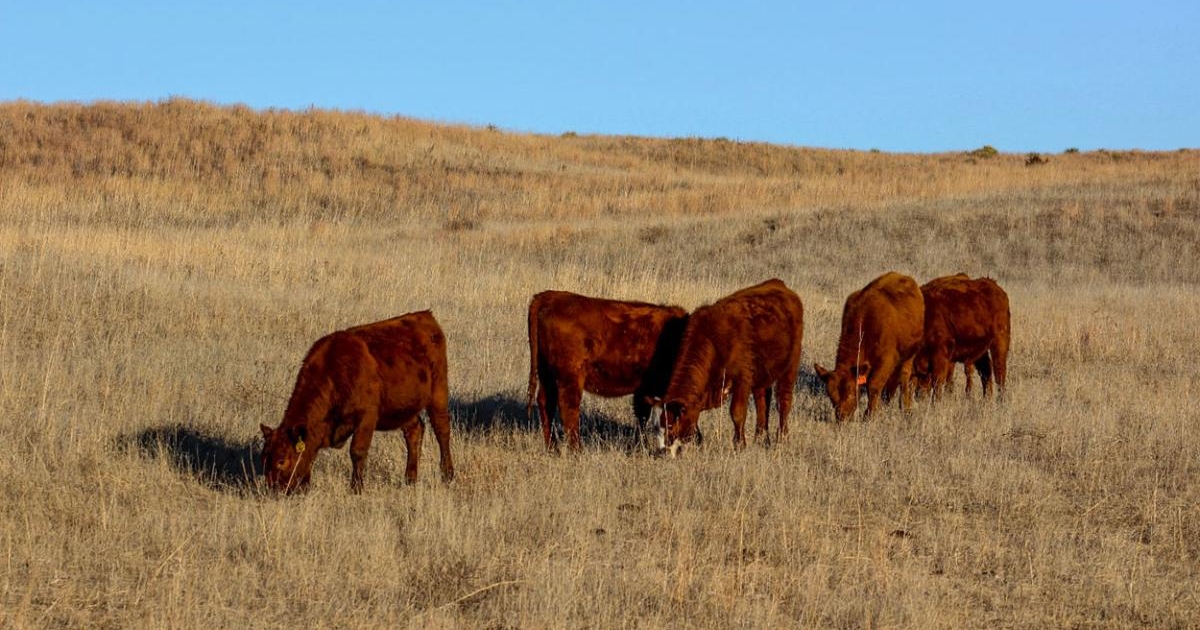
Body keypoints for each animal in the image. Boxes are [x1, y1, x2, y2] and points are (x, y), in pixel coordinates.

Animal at [260, 309, 451, 492]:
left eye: (282, 460)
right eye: (264, 458)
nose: (273, 488)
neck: (335, 371)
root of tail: (425, 316)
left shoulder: (366, 417)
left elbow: (357, 451)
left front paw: (356, 488)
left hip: (438, 394)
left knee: (442, 430)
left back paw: (447, 475)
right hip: (403, 408)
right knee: (415, 430)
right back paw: (410, 479)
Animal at [652, 277, 801, 453]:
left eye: (670, 425)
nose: (664, 448)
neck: (714, 339)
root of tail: (779, 285)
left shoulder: (742, 380)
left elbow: (737, 413)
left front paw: (740, 444)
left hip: (790, 368)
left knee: (783, 402)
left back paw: (783, 438)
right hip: (761, 376)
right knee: (762, 402)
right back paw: (761, 439)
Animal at [816, 268, 926, 420]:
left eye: (850, 393)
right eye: (832, 397)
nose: (842, 417)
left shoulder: (885, 361)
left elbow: (873, 386)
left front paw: (870, 414)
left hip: (910, 353)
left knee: (904, 377)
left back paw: (905, 406)